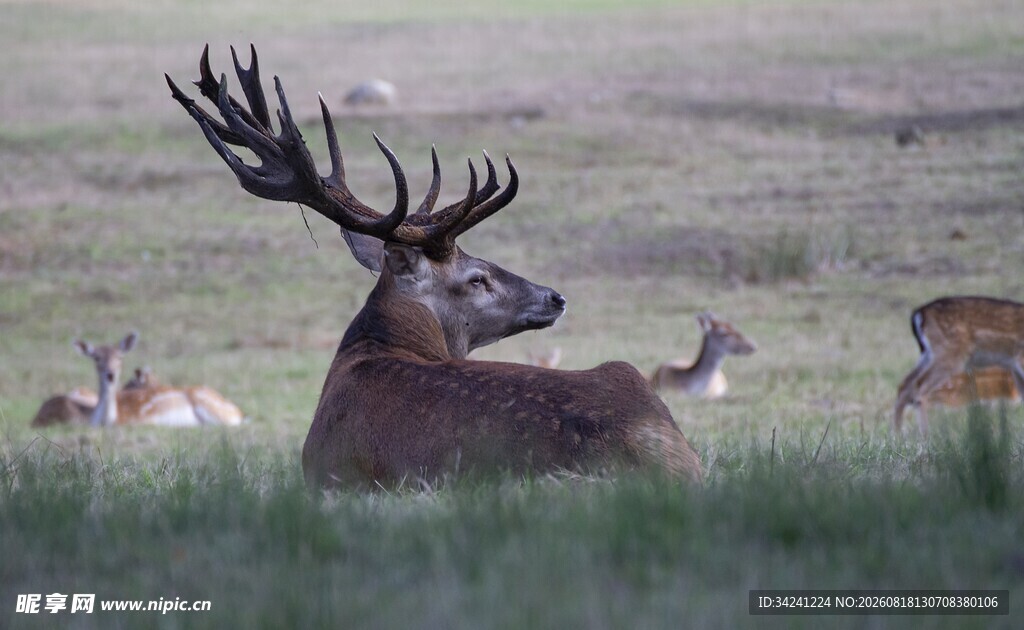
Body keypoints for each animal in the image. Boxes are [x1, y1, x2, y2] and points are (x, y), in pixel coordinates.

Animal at [894, 296, 1024, 436]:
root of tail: (919, 314)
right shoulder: (1020, 360)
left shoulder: (1015, 367)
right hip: (950, 353)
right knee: (920, 386)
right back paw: (925, 437)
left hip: (929, 354)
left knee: (906, 384)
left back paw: (896, 436)